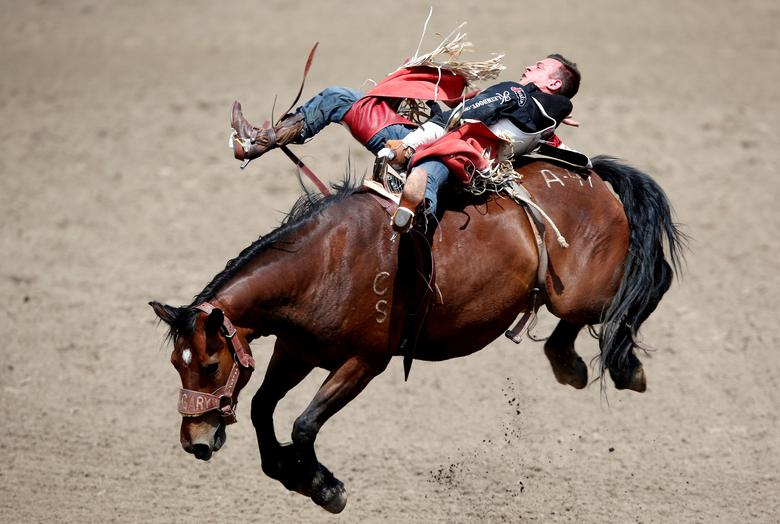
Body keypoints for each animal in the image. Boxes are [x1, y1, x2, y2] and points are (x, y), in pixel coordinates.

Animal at [148, 156, 684, 512]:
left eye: (210, 364)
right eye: (176, 364)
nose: (195, 442)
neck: (325, 264)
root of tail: (590, 174)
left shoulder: (363, 363)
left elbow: (304, 424)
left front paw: (324, 487)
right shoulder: (295, 350)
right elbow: (262, 409)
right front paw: (291, 473)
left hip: (582, 292)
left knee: (651, 278)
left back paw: (626, 365)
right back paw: (567, 361)